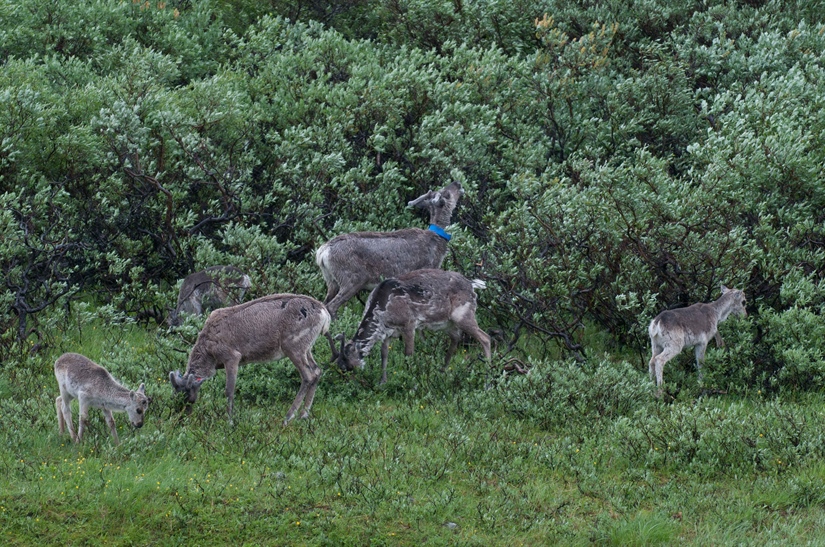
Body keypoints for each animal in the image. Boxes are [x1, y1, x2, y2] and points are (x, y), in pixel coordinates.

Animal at [334, 270, 490, 386]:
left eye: (348, 367)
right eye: (339, 365)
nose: (349, 383)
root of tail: (472, 285)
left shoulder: (409, 324)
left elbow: (408, 354)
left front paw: (411, 382)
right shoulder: (388, 332)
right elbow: (384, 354)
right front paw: (382, 382)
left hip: (463, 314)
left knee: (485, 338)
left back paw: (487, 381)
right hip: (448, 322)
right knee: (456, 337)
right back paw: (442, 372)